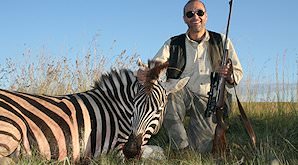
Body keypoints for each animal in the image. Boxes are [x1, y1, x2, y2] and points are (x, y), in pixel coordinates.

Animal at [0, 59, 189, 162]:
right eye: (134, 106)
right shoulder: (115, 149)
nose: (130, 151)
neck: (119, 112)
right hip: (13, 127)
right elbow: (159, 153)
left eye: (158, 110)